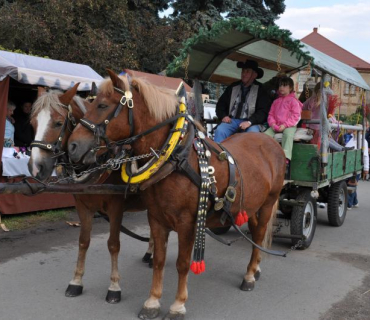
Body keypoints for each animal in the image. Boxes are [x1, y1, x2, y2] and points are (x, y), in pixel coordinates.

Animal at [27, 85, 152, 304]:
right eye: (32, 123)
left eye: (58, 123)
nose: (36, 167)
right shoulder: (83, 206)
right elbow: (83, 241)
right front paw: (76, 281)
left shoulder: (116, 207)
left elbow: (113, 244)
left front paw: (114, 286)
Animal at [67, 72, 286, 320]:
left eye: (103, 105)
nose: (72, 146)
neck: (176, 158)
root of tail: (271, 142)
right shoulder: (156, 218)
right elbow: (159, 260)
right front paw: (153, 301)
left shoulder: (187, 223)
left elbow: (182, 263)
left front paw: (178, 305)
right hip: (251, 206)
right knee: (257, 232)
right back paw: (256, 268)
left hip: (268, 203)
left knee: (259, 234)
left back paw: (249, 275)